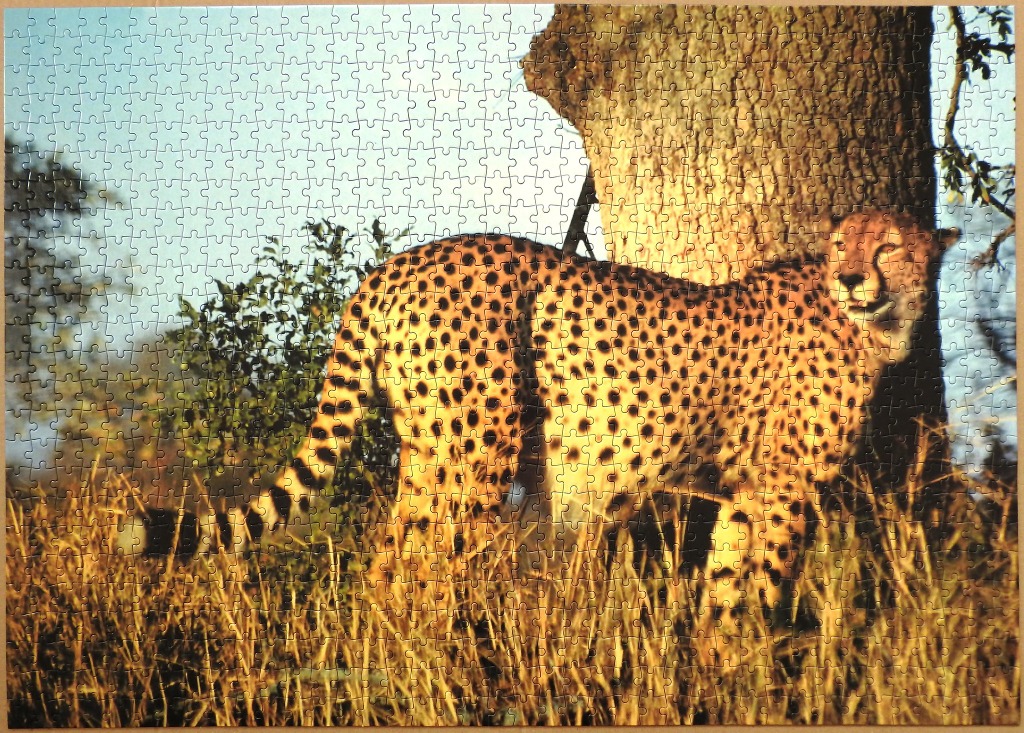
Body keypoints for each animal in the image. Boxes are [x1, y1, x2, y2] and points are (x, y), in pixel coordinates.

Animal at [118, 210, 955, 654]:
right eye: (843, 245)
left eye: (886, 245)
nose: (850, 276)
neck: (873, 324)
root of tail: (392, 265)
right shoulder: (784, 491)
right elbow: (766, 589)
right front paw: (753, 673)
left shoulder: (745, 492)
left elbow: (726, 589)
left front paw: (721, 671)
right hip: (480, 450)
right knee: (438, 568)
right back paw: (447, 668)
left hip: (426, 453)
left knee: (389, 565)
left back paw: (388, 662)